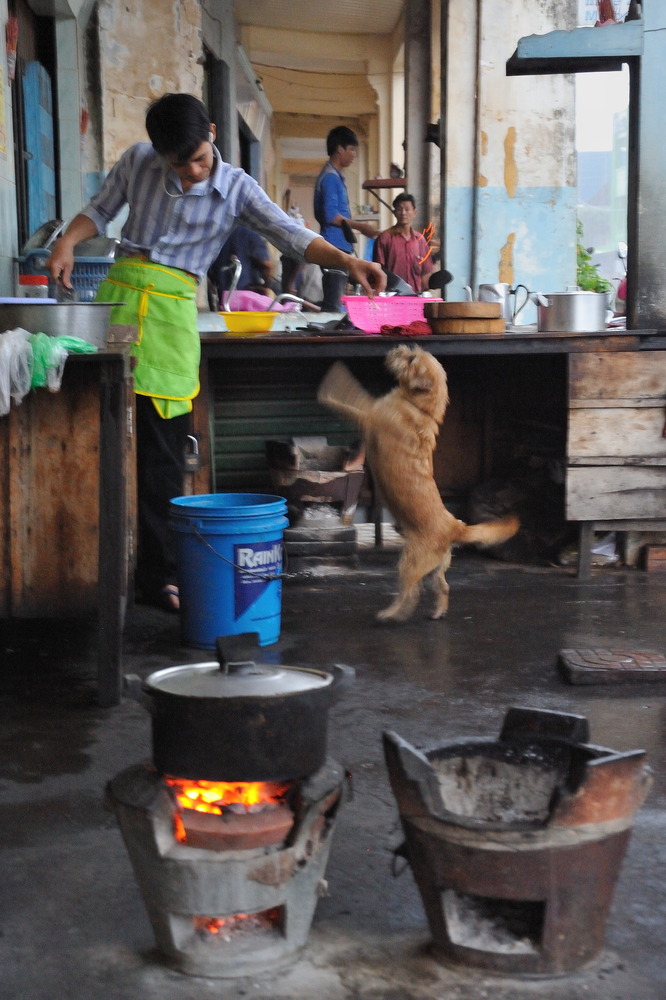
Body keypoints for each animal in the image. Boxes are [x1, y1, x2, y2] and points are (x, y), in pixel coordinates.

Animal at [316, 348, 520, 620]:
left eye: (412, 360)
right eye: (413, 351)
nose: (398, 348)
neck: (420, 407)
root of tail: (454, 527)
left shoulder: (369, 413)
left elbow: (349, 395)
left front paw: (332, 381)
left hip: (409, 562)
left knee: (411, 593)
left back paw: (391, 614)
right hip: (434, 569)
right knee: (442, 586)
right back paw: (437, 612)